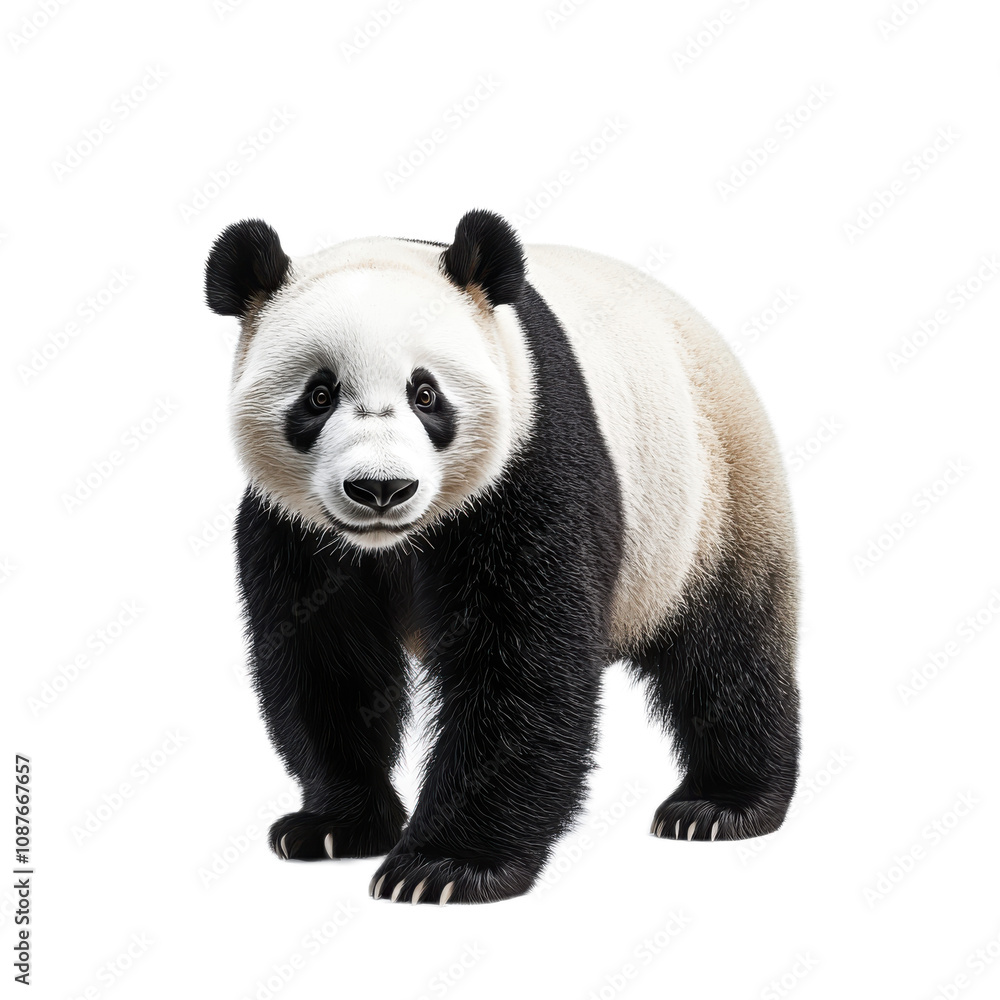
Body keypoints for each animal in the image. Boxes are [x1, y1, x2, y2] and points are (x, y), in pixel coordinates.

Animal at [205, 209, 800, 905]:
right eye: (319, 395)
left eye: (426, 394)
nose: (381, 489)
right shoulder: (293, 529)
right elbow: (325, 656)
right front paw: (335, 826)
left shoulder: (529, 456)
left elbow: (519, 658)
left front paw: (443, 867)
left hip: (711, 497)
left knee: (727, 649)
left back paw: (719, 807)